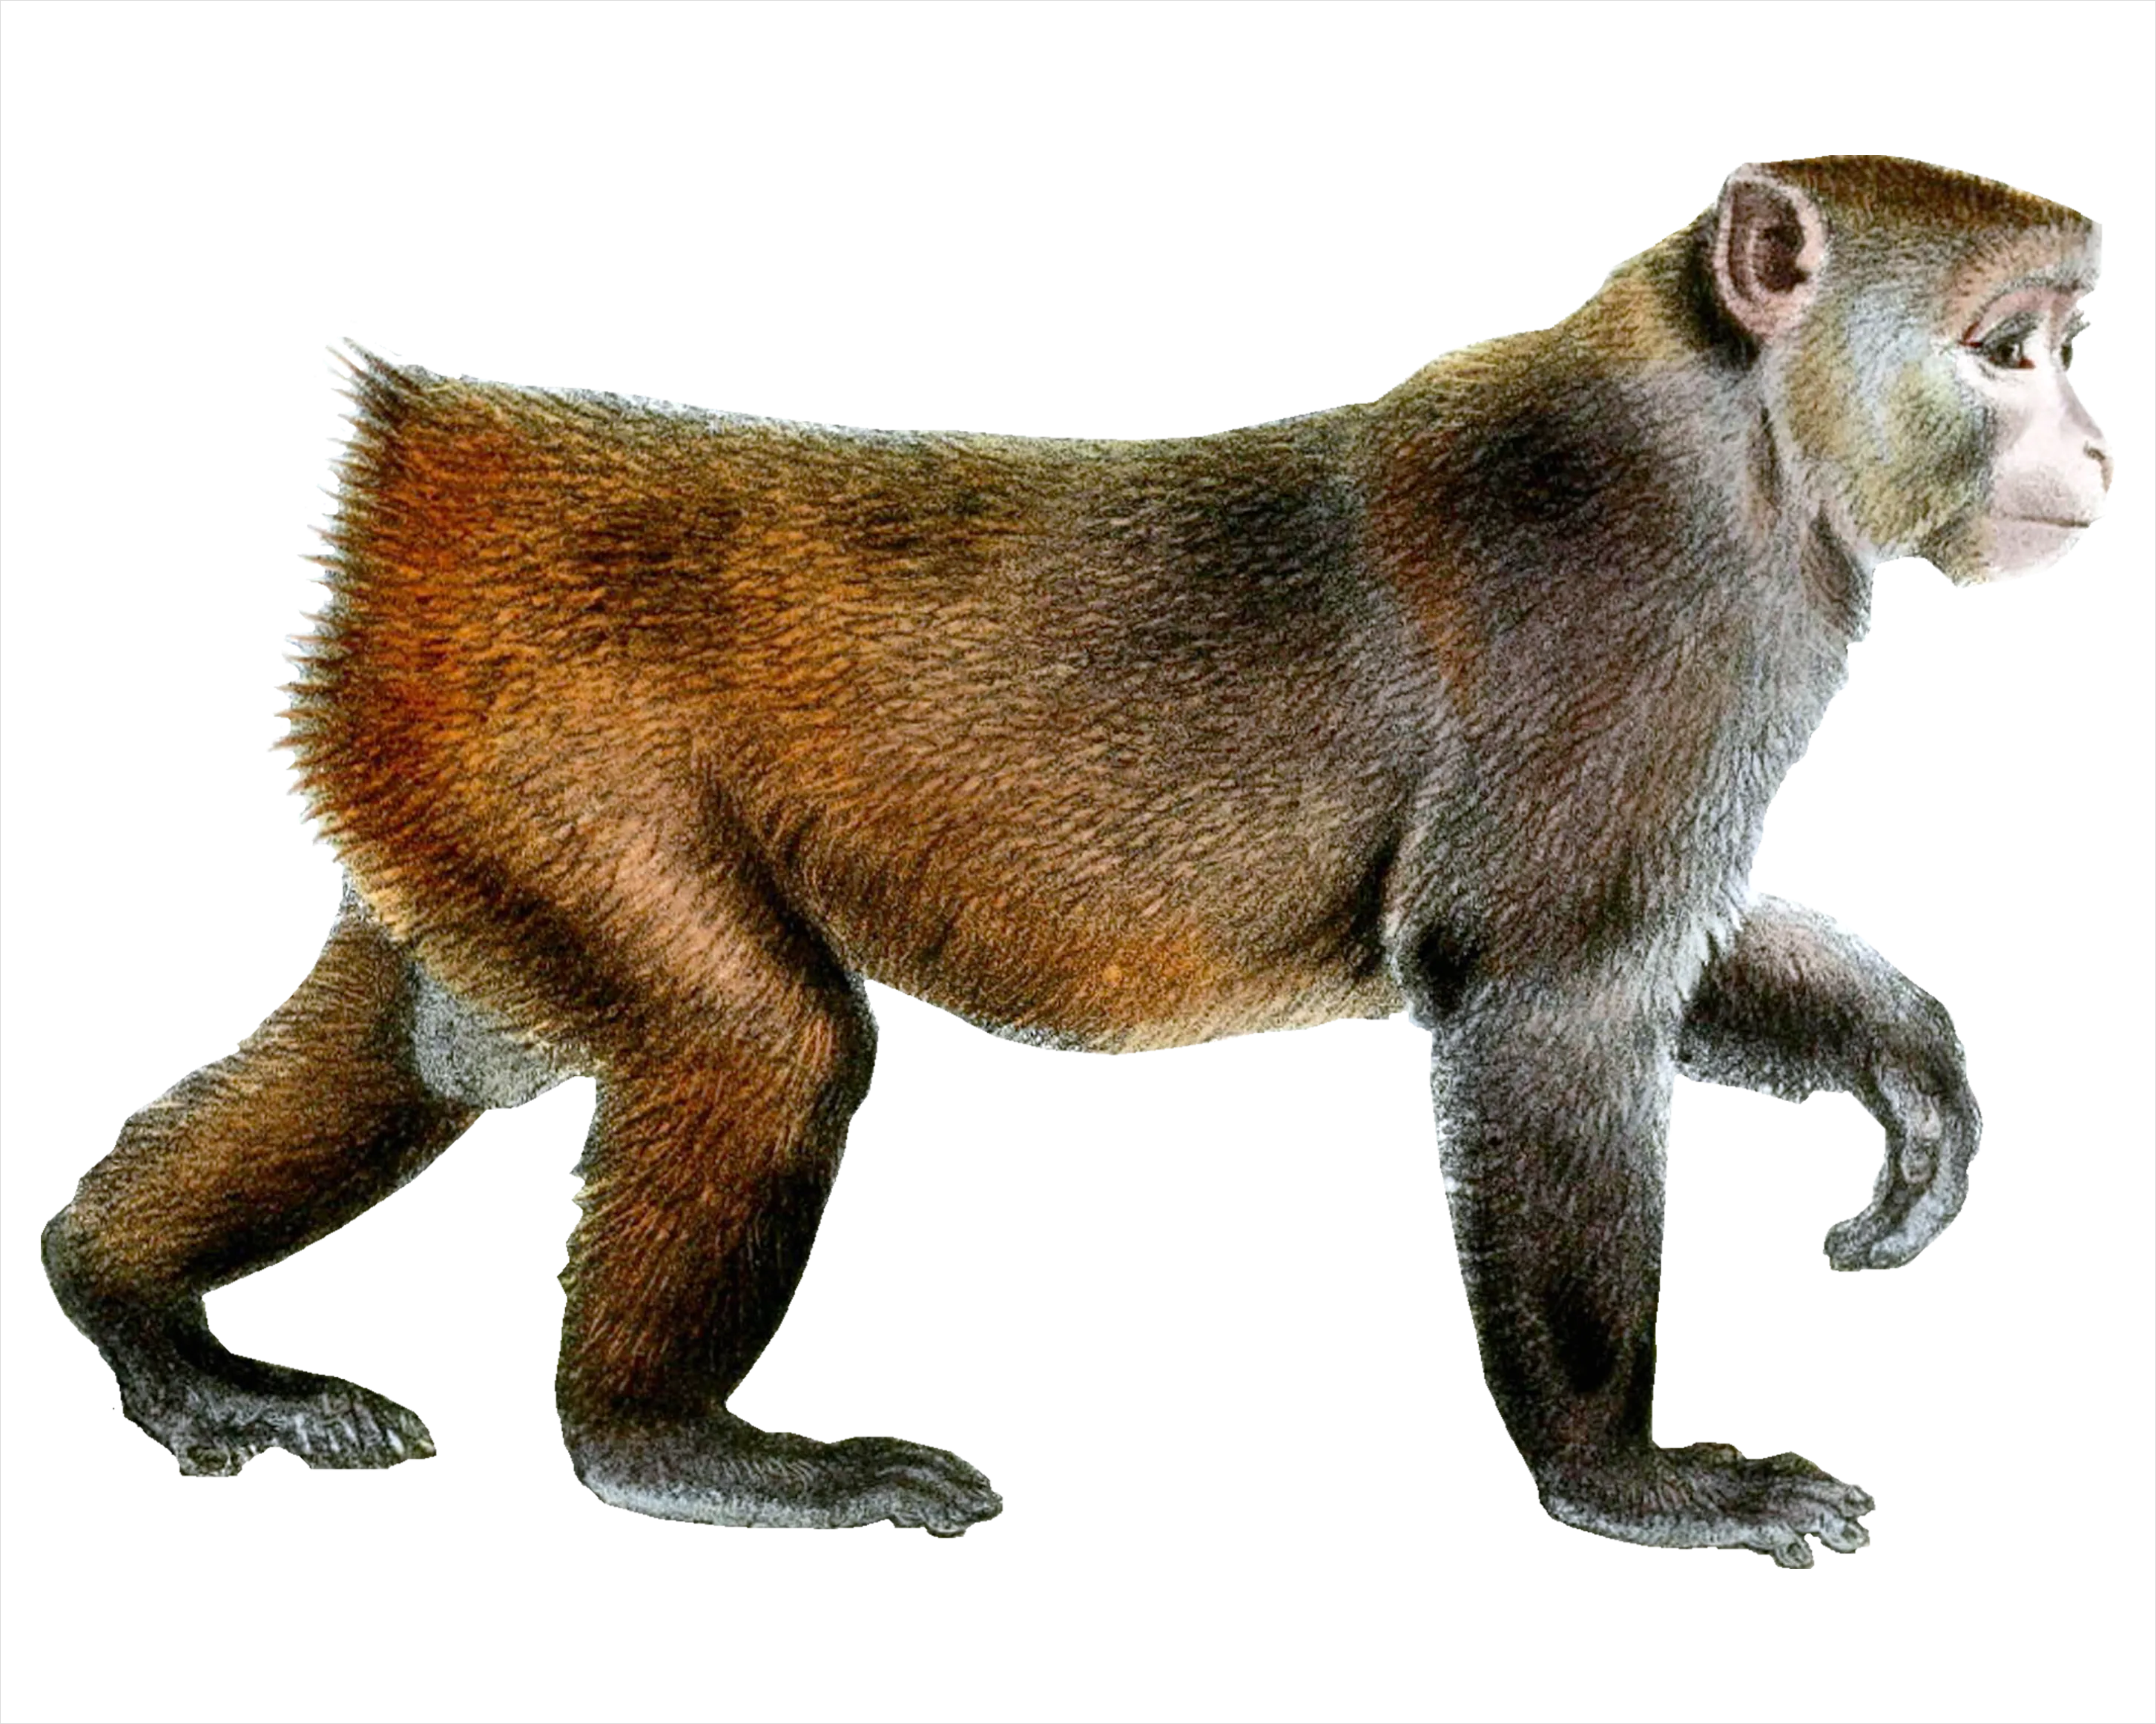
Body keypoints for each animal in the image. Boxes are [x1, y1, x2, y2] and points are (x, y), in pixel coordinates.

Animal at [40, 157, 2115, 1563]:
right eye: (2009, 349)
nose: (2096, 444)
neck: (1735, 433)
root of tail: (438, 448)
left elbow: (1645, 957)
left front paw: (1909, 1078)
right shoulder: (1653, 615)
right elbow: (1542, 993)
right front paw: (1628, 1476)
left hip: (439, 765)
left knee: (423, 1046)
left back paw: (132, 1308)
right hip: (532, 737)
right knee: (758, 1040)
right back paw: (670, 1443)